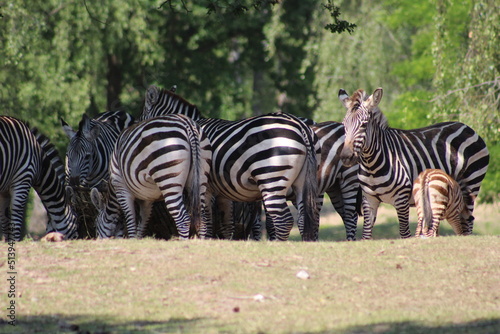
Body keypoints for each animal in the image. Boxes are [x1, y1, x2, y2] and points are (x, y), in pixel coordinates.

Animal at [141, 85, 320, 241]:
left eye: (142, 117)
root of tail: (301, 126)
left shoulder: (204, 187)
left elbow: (205, 220)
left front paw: (203, 240)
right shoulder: (222, 193)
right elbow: (226, 225)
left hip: (271, 178)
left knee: (283, 220)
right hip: (302, 183)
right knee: (306, 219)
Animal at [340, 88, 488, 240]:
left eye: (364, 125)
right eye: (344, 124)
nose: (346, 157)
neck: (372, 167)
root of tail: (466, 127)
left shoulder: (401, 199)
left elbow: (405, 234)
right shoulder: (369, 200)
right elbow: (366, 235)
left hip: (471, 184)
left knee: (468, 222)